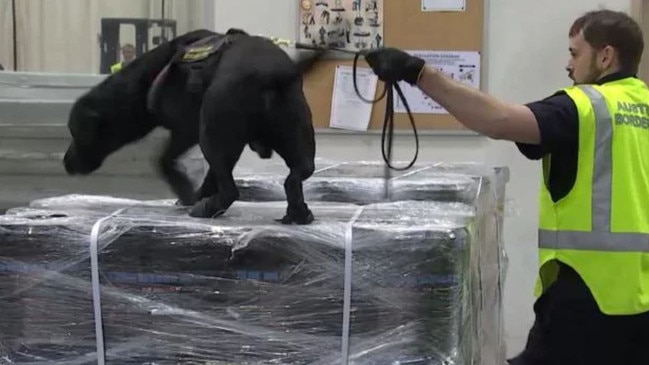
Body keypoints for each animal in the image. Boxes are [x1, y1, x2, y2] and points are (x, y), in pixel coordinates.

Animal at [63, 28, 322, 223]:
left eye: (76, 133)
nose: (65, 162)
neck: (147, 78)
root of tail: (273, 73)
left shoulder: (187, 131)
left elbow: (163, 161)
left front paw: (187, 192)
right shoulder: (228, 144)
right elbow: (211, 175)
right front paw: (200, 193)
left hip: (210, 132)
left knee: (231, 189)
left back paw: (207, 209)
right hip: (294, 134)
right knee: (298, 174)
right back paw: (297, 212)